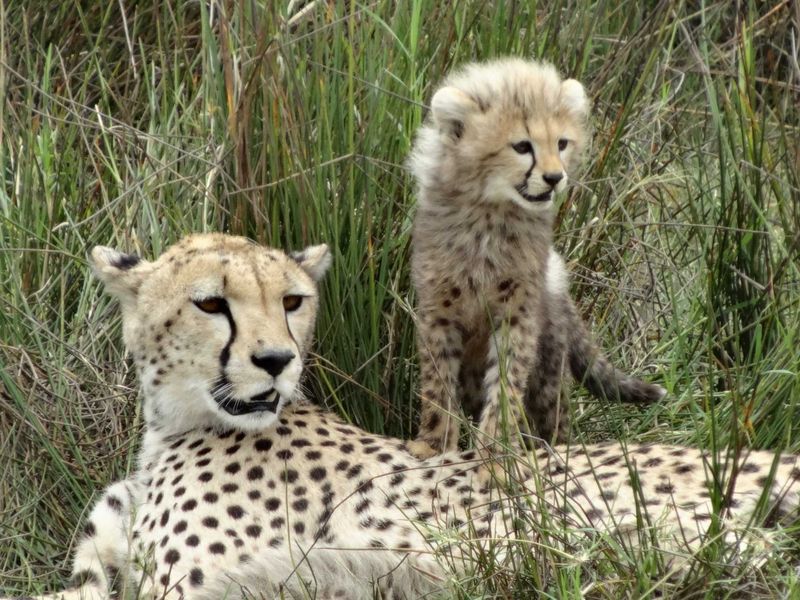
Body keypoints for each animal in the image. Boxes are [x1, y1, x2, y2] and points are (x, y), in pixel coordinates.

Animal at [407, 57, 666, 459]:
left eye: (561, 143)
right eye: (521, 146)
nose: (555, 177)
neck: (491, 214)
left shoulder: (518, 313)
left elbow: (507, 383)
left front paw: (496, 448)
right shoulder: (439, 311)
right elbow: (437, 386)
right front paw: (434, 446)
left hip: (548, 372)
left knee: (553, 419)